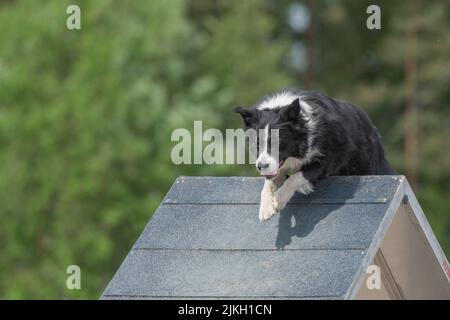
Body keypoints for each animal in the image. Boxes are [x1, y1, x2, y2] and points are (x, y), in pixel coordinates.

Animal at [234, 89, 396, 221]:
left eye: (278, 142)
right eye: (257, 143)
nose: (261, 166)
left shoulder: (330, 158)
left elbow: (296, 177)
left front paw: (279, 200)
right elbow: (269, 182)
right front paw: (266, 208)